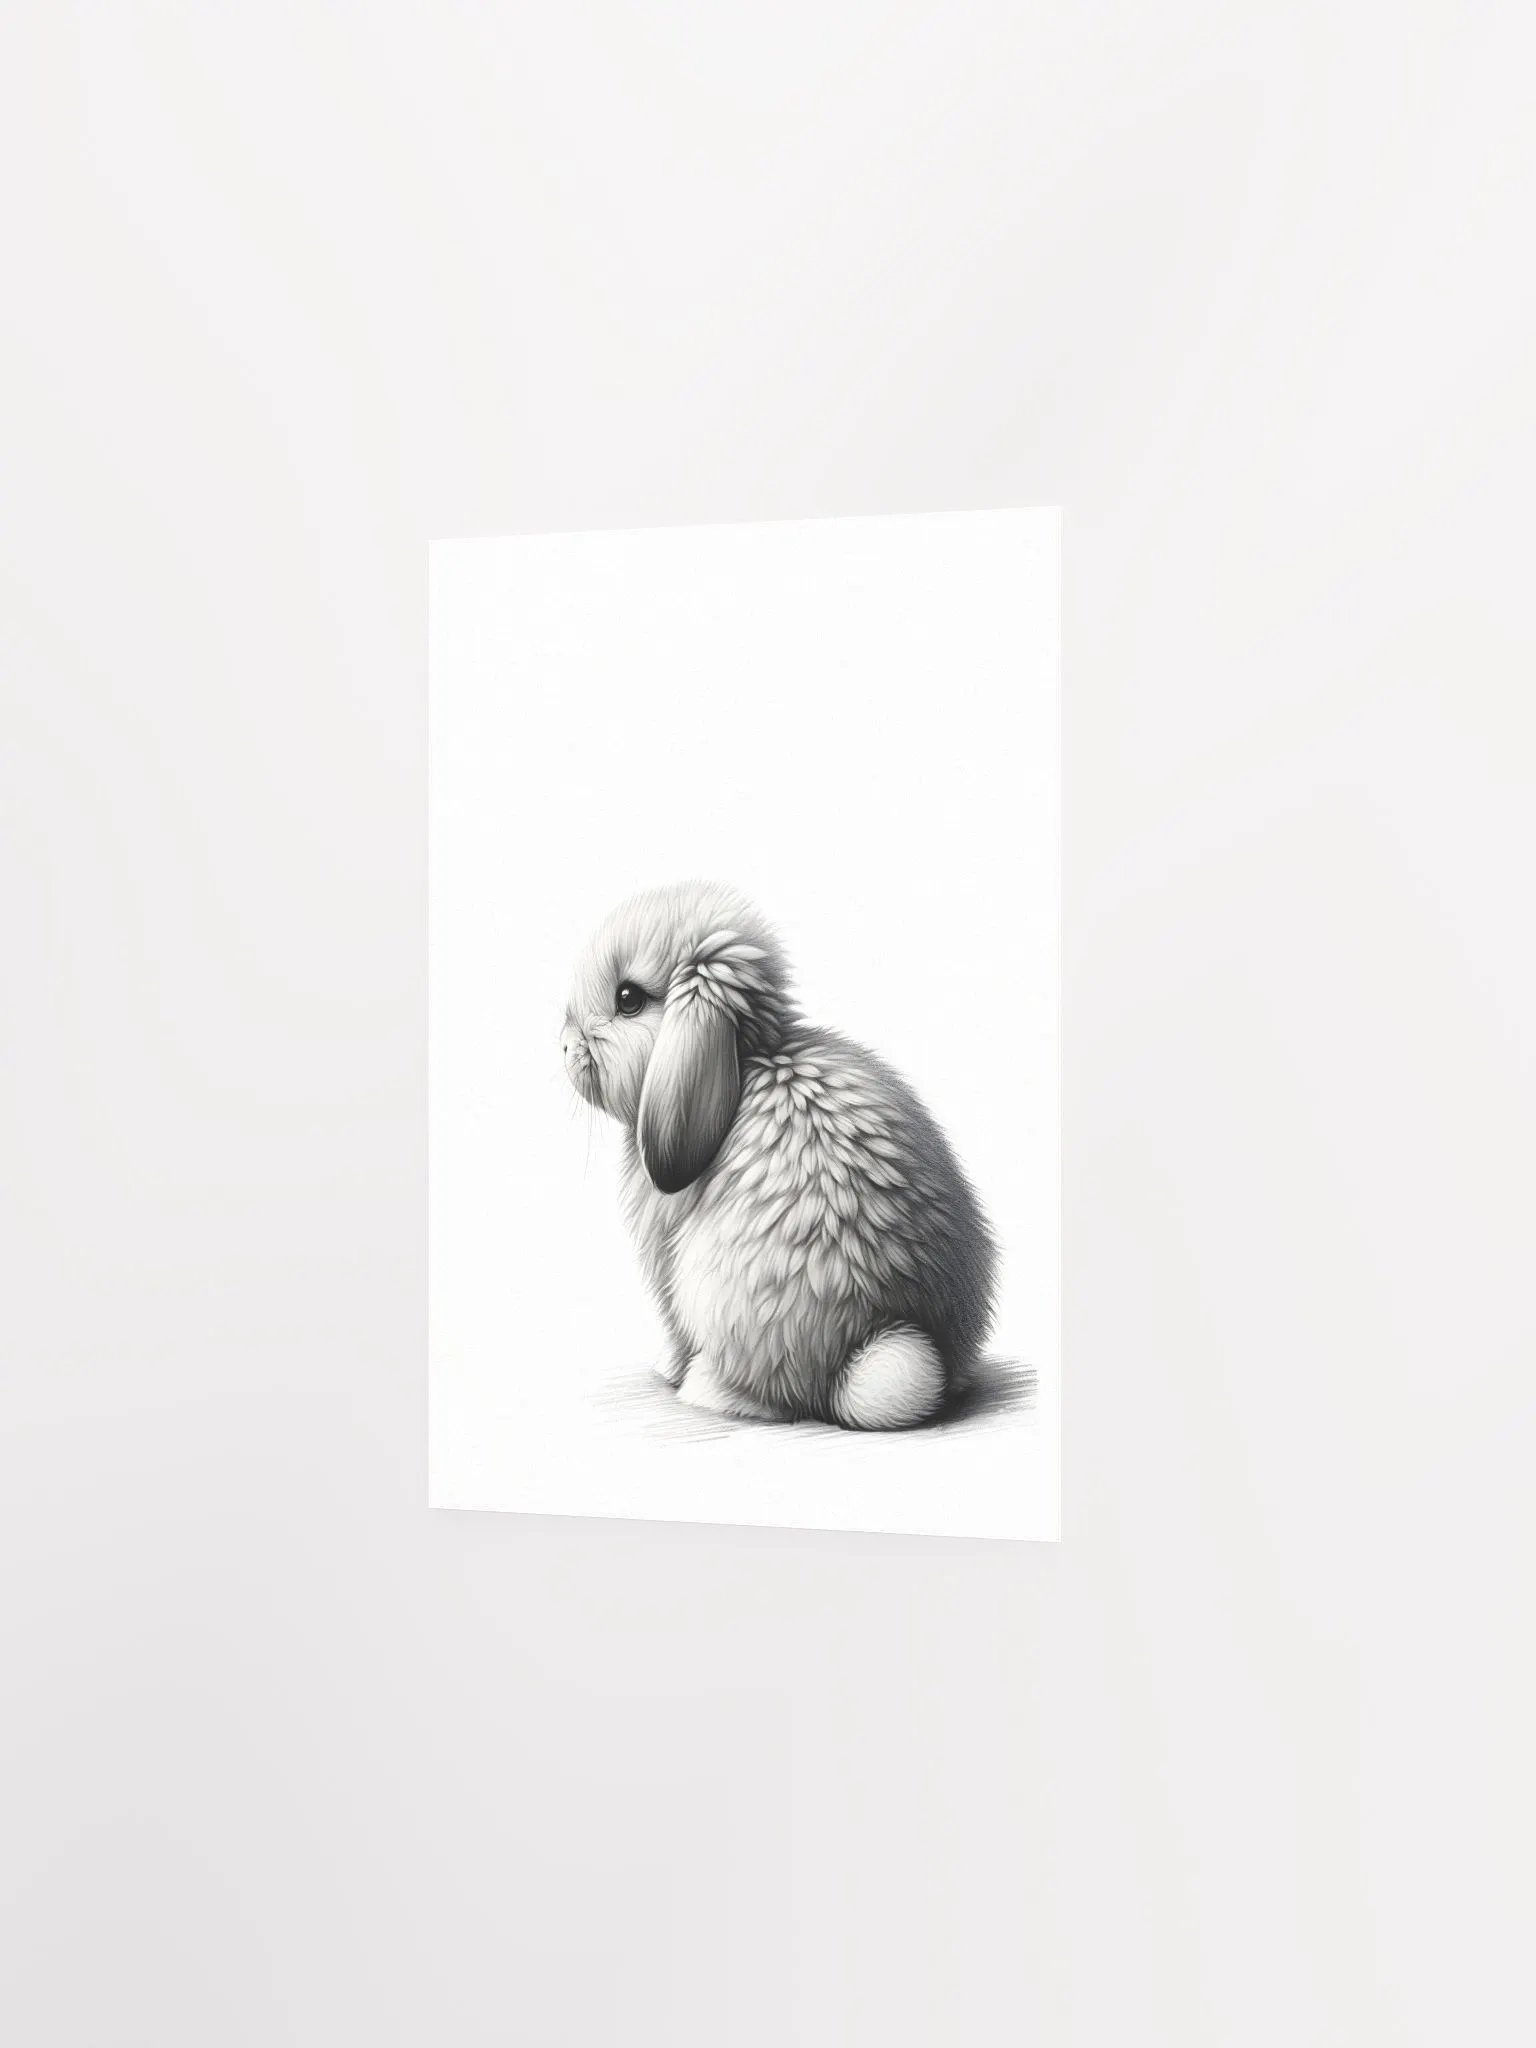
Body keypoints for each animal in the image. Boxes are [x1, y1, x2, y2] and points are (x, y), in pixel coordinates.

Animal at [560, 882, 996, 1428]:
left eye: (628, 999)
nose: (564, 1046)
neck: (748, 1058)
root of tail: (874, 1334)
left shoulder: (662, 1258)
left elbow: (673, 1327)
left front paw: (668, 1369)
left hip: (712, 1291)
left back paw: (707, 1388)